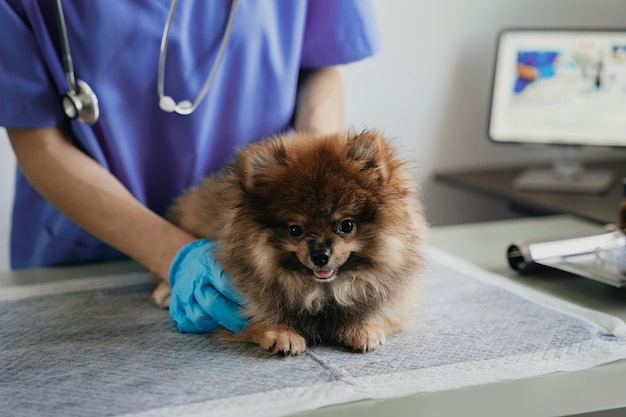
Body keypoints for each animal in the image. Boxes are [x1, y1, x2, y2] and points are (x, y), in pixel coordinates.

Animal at [162, 130, 424, 354]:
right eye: (295, 230)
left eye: (346, 225)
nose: (320, 256)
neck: (322, 293)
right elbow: (257, 318)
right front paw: (280, 333)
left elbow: (380, 314)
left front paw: (365, 328)